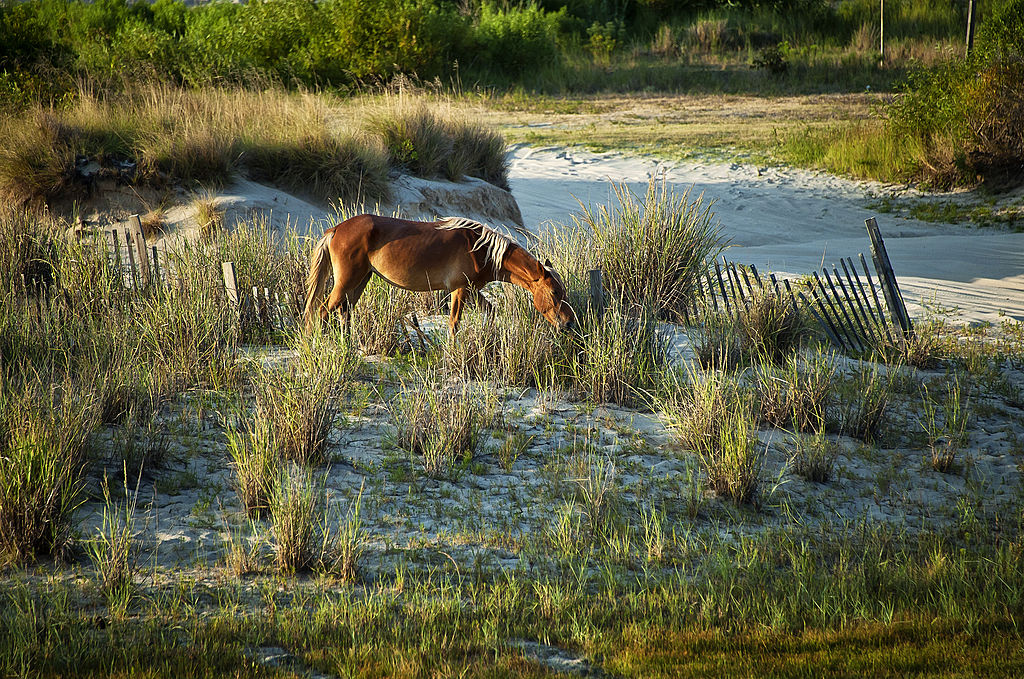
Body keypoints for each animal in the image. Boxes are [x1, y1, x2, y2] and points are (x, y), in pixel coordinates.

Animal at [303, 215, 577, 333]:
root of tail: (336, 229)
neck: (481, 249)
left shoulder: (472, 291)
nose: (568, 322)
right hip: (346, 282)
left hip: (360, 281)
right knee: (322, 312)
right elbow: (454, 322)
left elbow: (491, 312)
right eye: (554, 293)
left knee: (345, 312)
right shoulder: (459, 290)